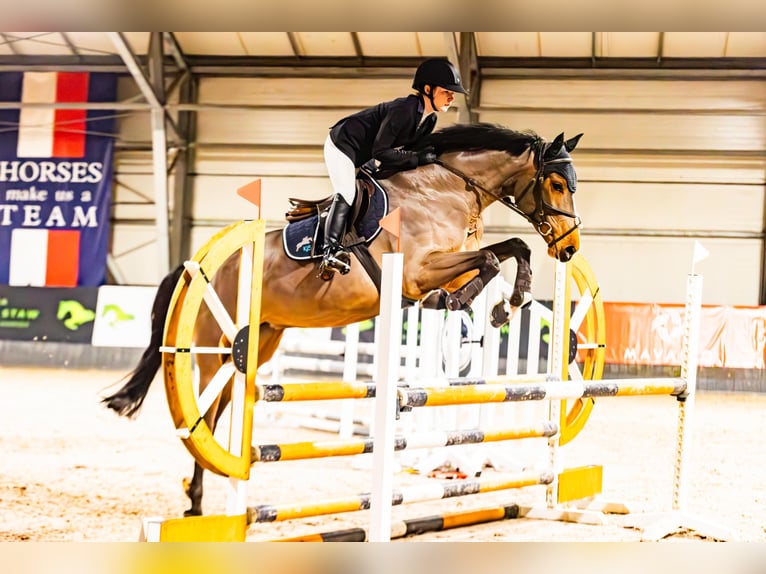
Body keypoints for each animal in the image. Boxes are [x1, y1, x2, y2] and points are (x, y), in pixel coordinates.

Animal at [102, 123, 583, 516]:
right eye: (557, 183)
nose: (570, 249)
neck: (446, 188)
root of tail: (197, 266)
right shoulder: (417, 271)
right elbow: (488, 259)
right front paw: (456, 300)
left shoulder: (450, 261)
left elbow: (511, 249)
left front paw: (509, 302)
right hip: (214, 348)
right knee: (205, 414)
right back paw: (198, 502)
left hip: (262, 340)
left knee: (220, 409)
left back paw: (203, 493)